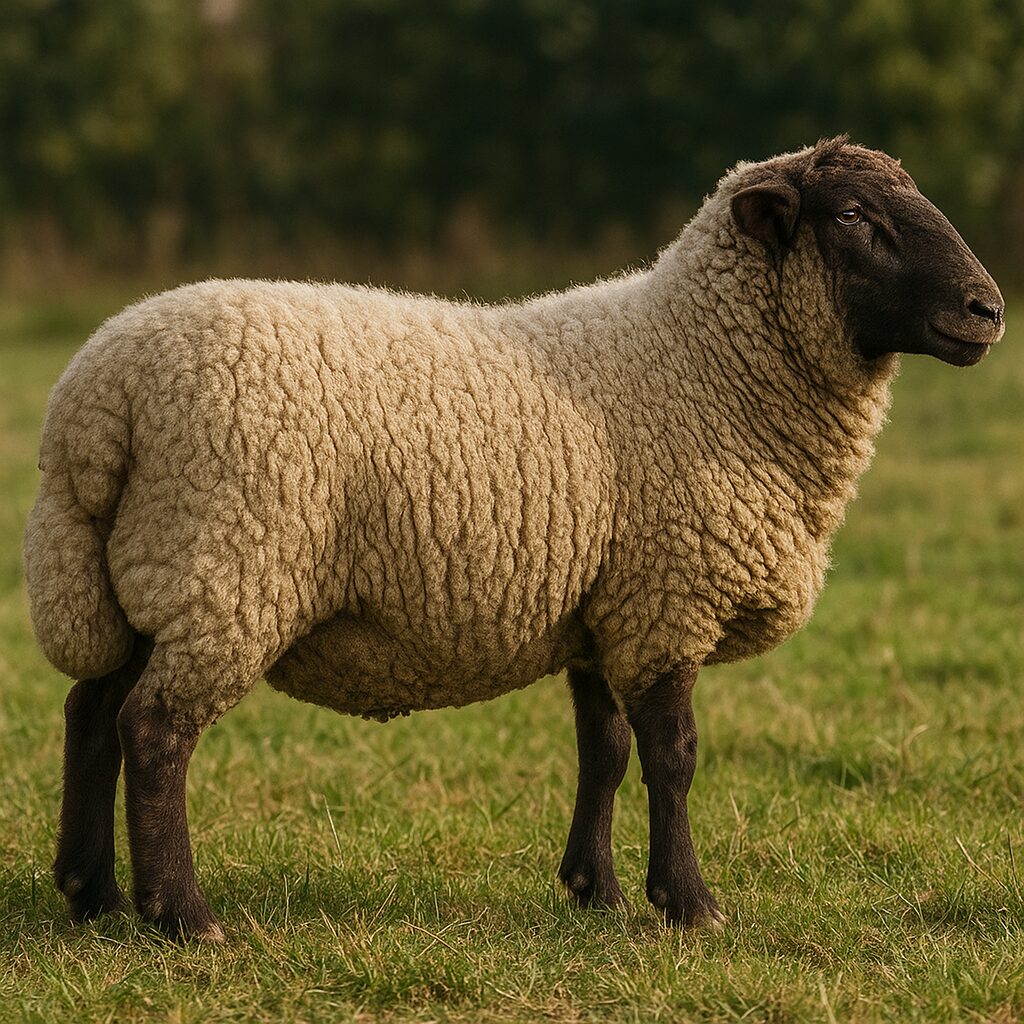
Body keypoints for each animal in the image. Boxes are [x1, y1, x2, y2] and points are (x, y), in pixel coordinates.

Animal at [25, 137, 1005, 941]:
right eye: (854, 217)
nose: (988, 309)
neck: (706, 363)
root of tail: (94, 404)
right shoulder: (667, 598)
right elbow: (674, 756)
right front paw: (689, 906)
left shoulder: (608, 606)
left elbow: (604, 752)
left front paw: (596, 892)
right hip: (227, 568)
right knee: (155, 731)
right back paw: (185, 918)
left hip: (142, 575)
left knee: (93, 712)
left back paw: (92, 896)